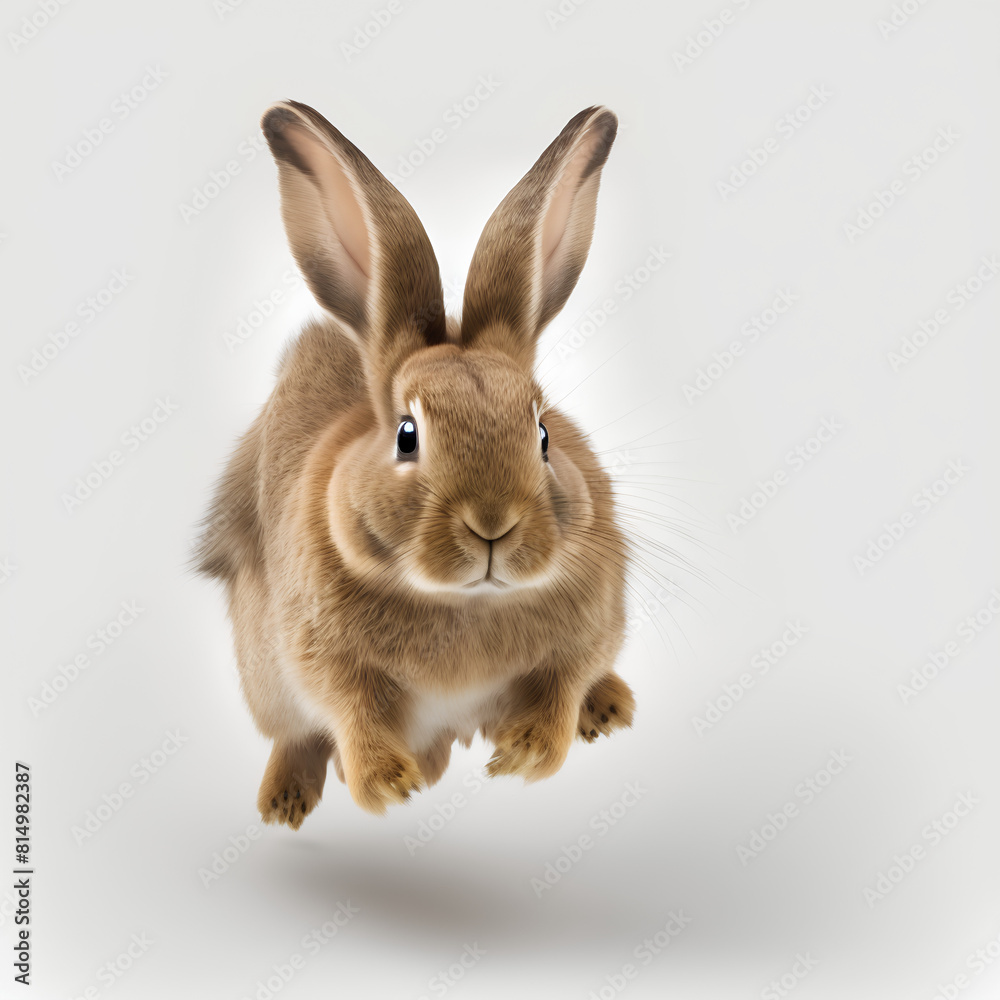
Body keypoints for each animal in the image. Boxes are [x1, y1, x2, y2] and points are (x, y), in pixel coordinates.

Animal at [196, 100, 635, 826]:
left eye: (543, 434)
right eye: (407, 435)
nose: (493, 524)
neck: (465, 602)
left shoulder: (590, 626)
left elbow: (561, 684)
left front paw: (524, 753)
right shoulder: (319, 658)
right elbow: (351, 711)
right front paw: (387, 783)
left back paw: (610, 708)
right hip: (263, 672)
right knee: (294, 734)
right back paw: (286, 802)